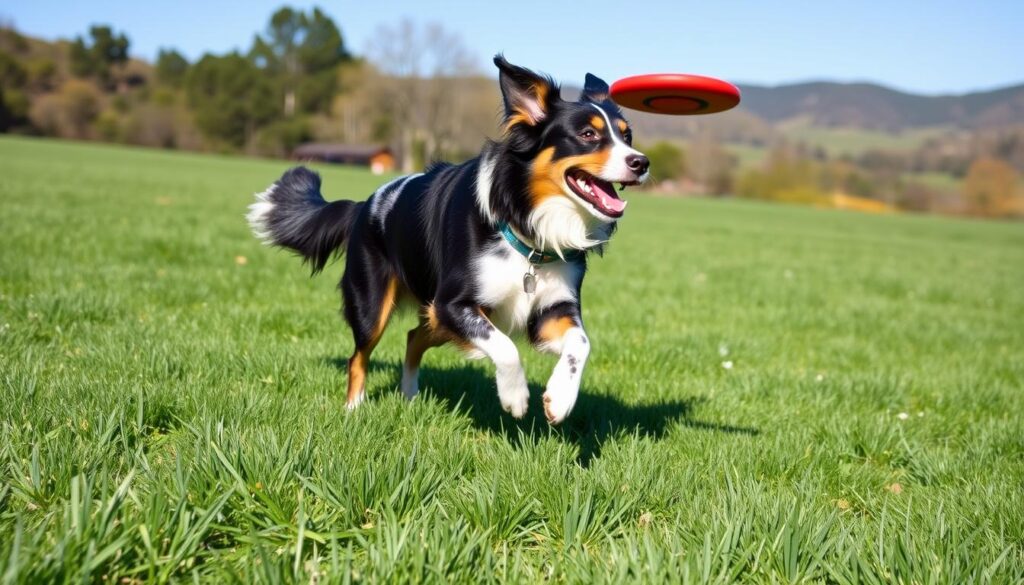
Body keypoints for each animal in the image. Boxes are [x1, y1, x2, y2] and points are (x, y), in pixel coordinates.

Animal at [247, 56, 647, 426]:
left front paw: (560, 399)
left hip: (434, 317)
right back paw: (354, 409)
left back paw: (409, 397)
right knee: (358, 356)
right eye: (588, 135)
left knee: (412, 337)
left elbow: (581, 343)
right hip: (375, 306)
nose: (641, 162)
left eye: (627, 136)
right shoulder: (454, 303)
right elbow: (505, 348)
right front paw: (515, 397)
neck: (527, 225)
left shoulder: (551, 309)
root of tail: (363, 205)